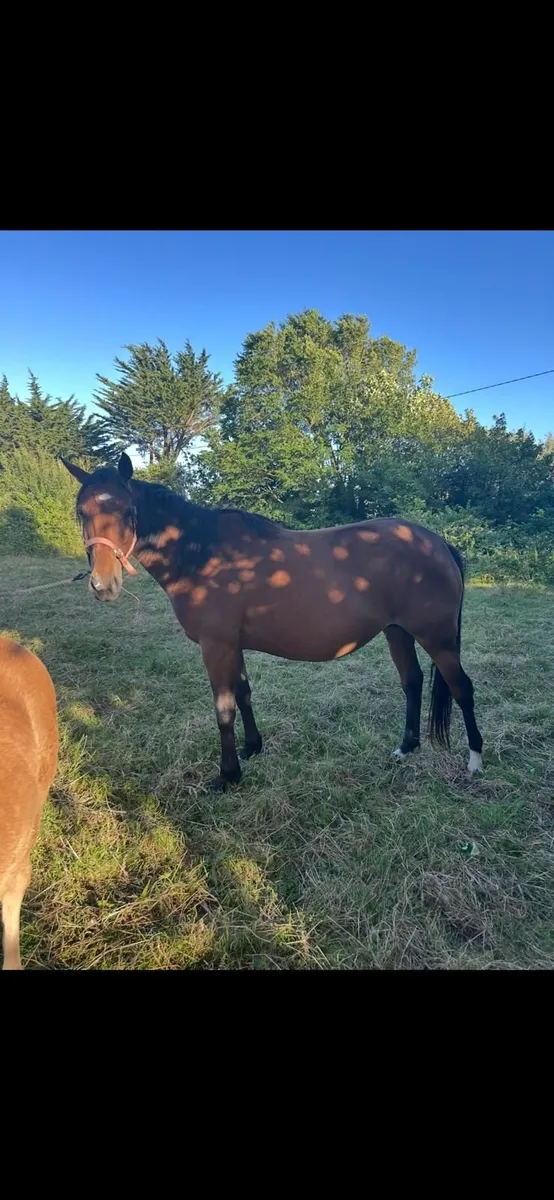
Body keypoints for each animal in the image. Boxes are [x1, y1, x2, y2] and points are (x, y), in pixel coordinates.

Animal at [61, 453, 483, 792]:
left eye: (127, 512)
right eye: (81, 513)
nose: (103, 585)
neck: (202, 555)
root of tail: (438, 543)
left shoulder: (215, 646)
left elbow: (224, 709)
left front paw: (228, 775)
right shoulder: (232, 646)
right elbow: (244, 694)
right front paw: (252, 748)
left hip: (436, 637)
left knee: (462, 687)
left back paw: (475, 762)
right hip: (398, 632)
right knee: (412, 682)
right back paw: (405, 747)